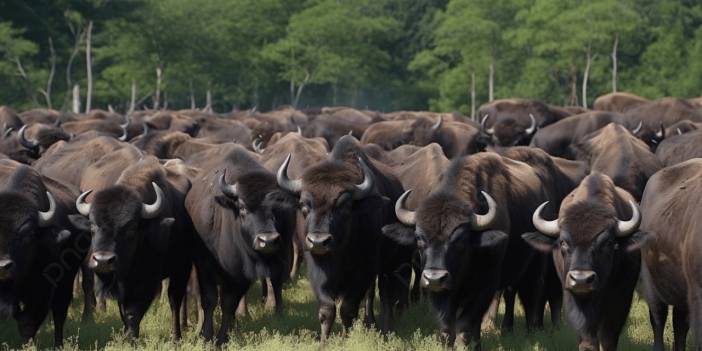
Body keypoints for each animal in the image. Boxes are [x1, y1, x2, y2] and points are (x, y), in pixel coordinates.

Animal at [524, 174, 652, 351]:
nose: (581, 280)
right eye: (563, 242)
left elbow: (609, 337)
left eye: (608, 243)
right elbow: (587, 338)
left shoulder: (620, 299)